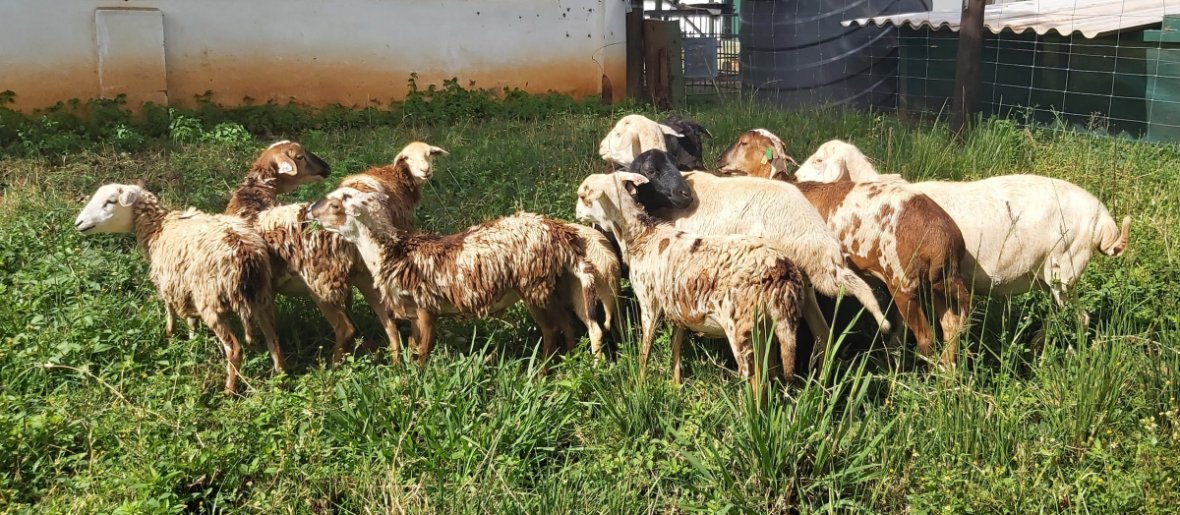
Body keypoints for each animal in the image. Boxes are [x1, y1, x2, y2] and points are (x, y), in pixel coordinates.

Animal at [75, 183, 282, 394]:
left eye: (111, 201)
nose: (78, 223)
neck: (158, 228)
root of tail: (244, 251)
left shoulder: (167, 284)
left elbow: (170, 315)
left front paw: (170, 337)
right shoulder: (183, 287)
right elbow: (190, 321)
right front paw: (192, 343)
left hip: (209, 300)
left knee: (234, 349)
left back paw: (229, 390)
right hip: (262, 295)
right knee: (273, 339)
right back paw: (280, 377)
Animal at [307, 187, 598, 367]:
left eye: (336, 205)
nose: (310, 209)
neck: (393, 252)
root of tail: (558, 233)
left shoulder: (426, 305)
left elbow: (424, 351)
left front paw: (417, 382)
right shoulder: (413, 312)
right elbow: (413, 346)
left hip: (532, 284)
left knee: (550, 328)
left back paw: (541, 373)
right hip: (550, 285)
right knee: (567, 322)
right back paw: (570, 359)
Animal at [575, 171, 806, 388]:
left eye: (583, 196)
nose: (576, 214)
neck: (642, 236)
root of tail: (781, 271)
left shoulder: (649, 302)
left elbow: (645, 350)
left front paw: (639, 384)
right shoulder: (678, 309)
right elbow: (675, 346)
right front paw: (676, 385)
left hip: (743, 329)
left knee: (757, 382)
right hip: (769, 328)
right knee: (772, 370)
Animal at [790, 140, 1132, 317]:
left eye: (819, 160)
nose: (793, 178)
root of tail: (1104, 222)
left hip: (1064, 267)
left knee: (1078, 318)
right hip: (1056, 278)